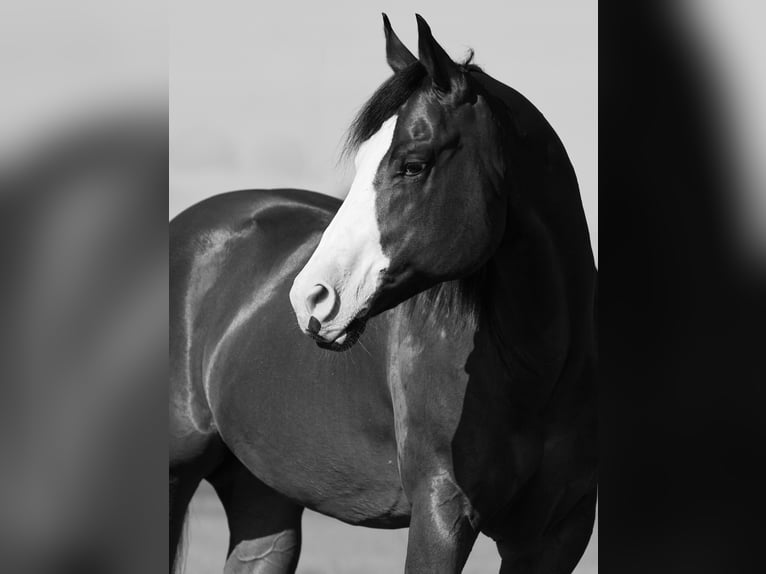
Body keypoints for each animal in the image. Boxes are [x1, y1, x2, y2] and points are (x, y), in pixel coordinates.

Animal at [170, 14, 597, 574]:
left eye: (413, 164)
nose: (310, 298)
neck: (538, 370)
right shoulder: (441, 512)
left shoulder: (556, 534)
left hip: (263, 500)